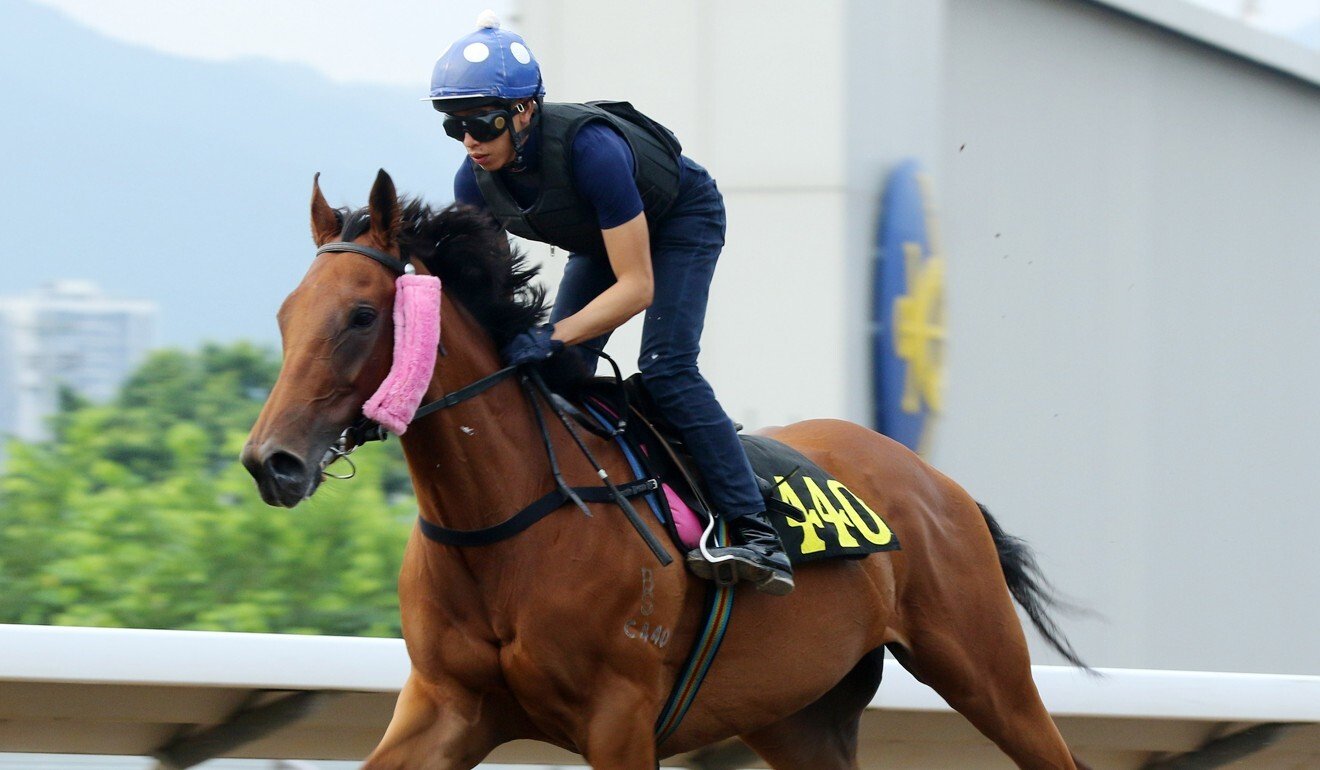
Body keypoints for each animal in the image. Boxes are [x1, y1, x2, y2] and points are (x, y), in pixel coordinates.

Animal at [242, 171, 1087, 766]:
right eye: (285, 314)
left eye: (361, 316)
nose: (268, 462)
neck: (504, 518)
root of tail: (939, 483)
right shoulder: (445, 706)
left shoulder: (619, 717)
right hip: (799, 715)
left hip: (987, 672)